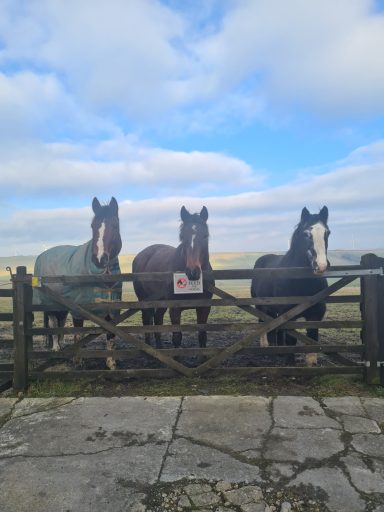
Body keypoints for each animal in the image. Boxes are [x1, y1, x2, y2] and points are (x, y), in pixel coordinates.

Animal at [34, 196, 122, 368]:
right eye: (92, 226)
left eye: (115, 225)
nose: (99, 259)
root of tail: (43, 255)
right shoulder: (78, 309)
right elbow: (78, 333)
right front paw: (78, 360)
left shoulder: (112, 309)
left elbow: (110, 335)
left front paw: (111, 362)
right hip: (50, 303)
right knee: (54, 324)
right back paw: (56, 347)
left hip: (62, 305)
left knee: (61, 322)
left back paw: (62, 345)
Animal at [133, 206, 213, 350]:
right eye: (182, 236)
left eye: (205, 236)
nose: (193, 271)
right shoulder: (175, 308)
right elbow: (177, 337)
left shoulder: (204, 307)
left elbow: (202, 336)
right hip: (144, 300)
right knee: (146, 321)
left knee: (158, 320)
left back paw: (159, 347)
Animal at [252, 206, 330, 366]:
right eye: (306, 234)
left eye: (327, 233)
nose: (320, 266)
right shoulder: (289, 315)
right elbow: (291, 339)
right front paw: (289, 363)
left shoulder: (316, 314)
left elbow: (312, 337)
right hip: (261, 306)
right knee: (264, 323)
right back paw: (266, 347)